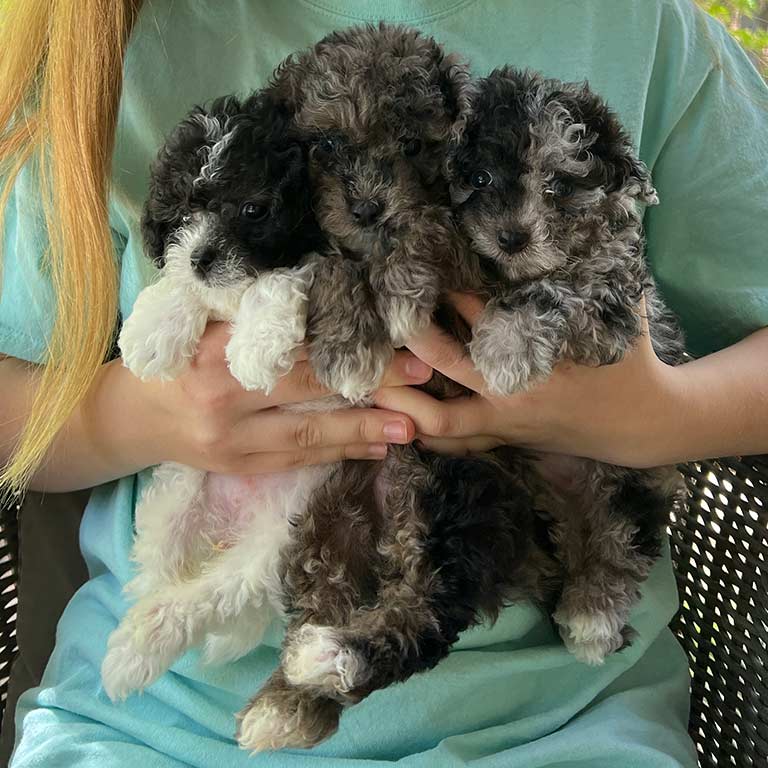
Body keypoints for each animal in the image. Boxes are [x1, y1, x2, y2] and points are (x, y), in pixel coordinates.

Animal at [100, 91, 332, 704]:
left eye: (253, 210)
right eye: (180, 213)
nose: (203, 256)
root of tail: (234, 523)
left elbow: (284, 276)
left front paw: (256, 344)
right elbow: (183, 287)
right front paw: (153, 330)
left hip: (276, 544)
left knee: (212, 595)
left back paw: (141, 644)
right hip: (178, 491)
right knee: (159, 569)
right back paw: (135, 642)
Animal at [234, 25, 560, 756]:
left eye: (413, 145)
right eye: (326, 146)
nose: (365, 208)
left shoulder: (479, 265)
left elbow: (426, 229)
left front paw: (397, 288)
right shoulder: (314, 239)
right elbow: (326, 261)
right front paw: (349, 340)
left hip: (452, 496)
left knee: (427, 614)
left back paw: (332, 660)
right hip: (329, 524)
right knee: (330, 593)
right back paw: (291, 697)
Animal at [448, 67, 688, 664]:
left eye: (558, 186)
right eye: (481, 177)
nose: (513, 237)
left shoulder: (612, 299)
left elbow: (557, 290)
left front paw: (506, 346)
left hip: (630, 481)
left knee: (619, 546)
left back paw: (591, 617)